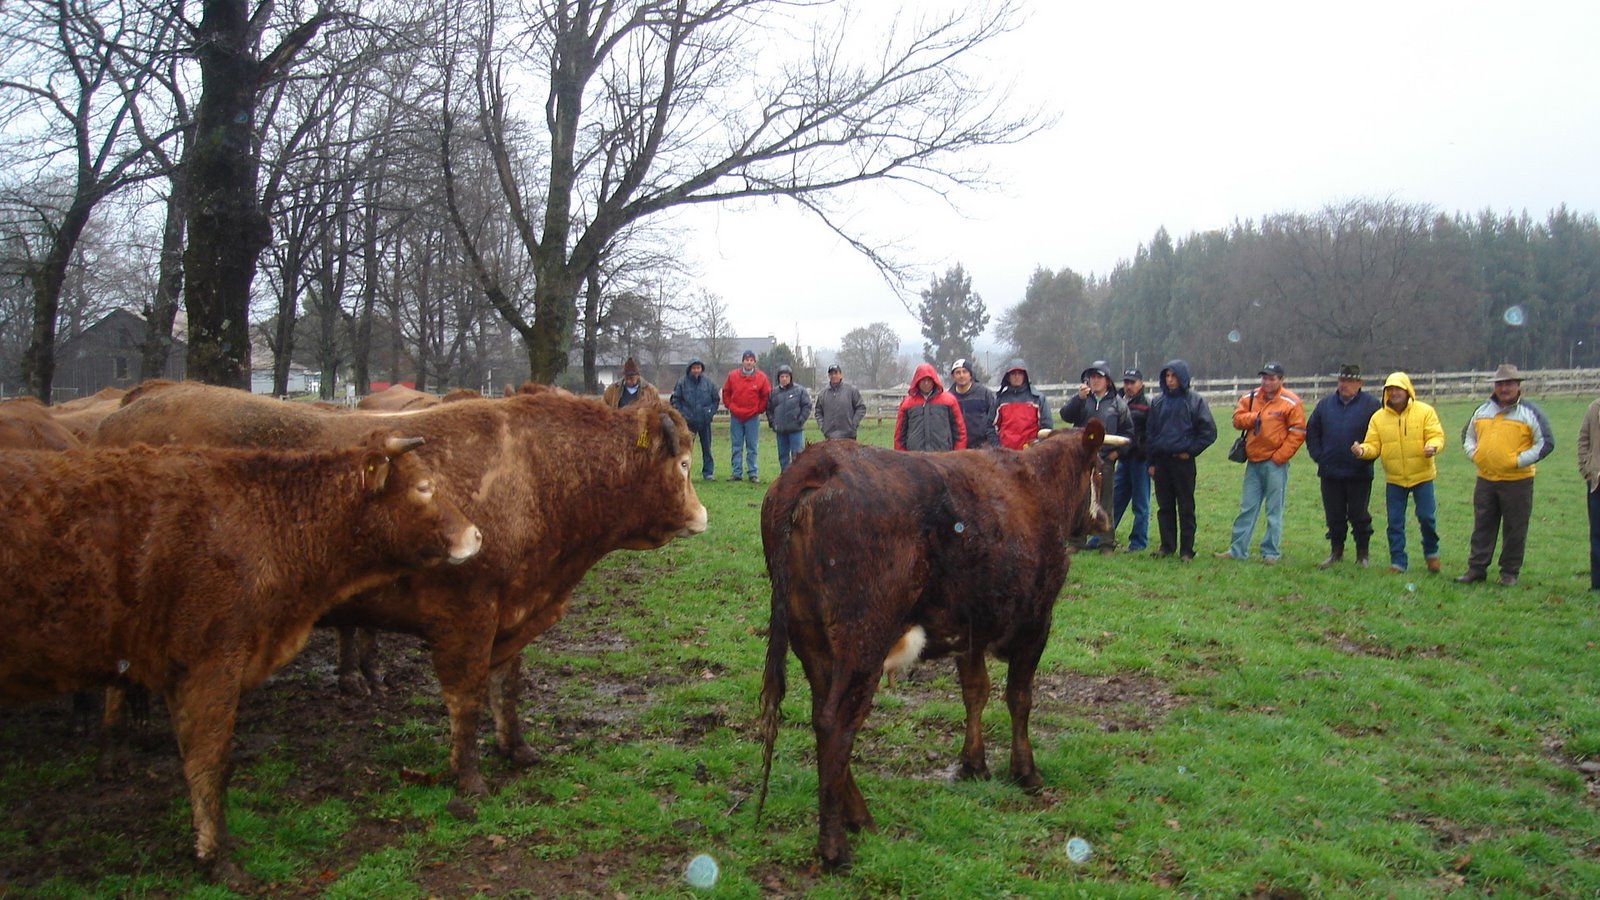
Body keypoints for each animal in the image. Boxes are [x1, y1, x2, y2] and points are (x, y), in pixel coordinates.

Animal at [0, 432, 482, 884]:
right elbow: (209, 762)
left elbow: (193, 759)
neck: (266, 520)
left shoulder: (179, 669)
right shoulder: (212, 662)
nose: (476, 535)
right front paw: (216, 858)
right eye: (423, 486)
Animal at [95, 381, 707, 798]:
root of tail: (133, 407)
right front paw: (468, 780)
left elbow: (507, 688)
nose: (702, 516)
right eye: (682, 463)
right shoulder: (465, 616)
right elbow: (466, 697)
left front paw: (517, 749)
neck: (536, 474)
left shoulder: (513, 613)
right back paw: (119, 744)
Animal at [755, 422, 1122, 871]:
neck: (1036, 485)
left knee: (821, 715)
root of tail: (819, 461)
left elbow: (975, 692)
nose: (1104, 521)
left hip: (812, 641)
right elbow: (1019, 698)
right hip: (862, 643)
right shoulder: (1036, 624)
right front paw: (1025, 772)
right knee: (836, 724)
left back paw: (860, 819)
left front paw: (973, 764)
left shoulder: (971, 631)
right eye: (1100, 469)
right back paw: (835, 847)